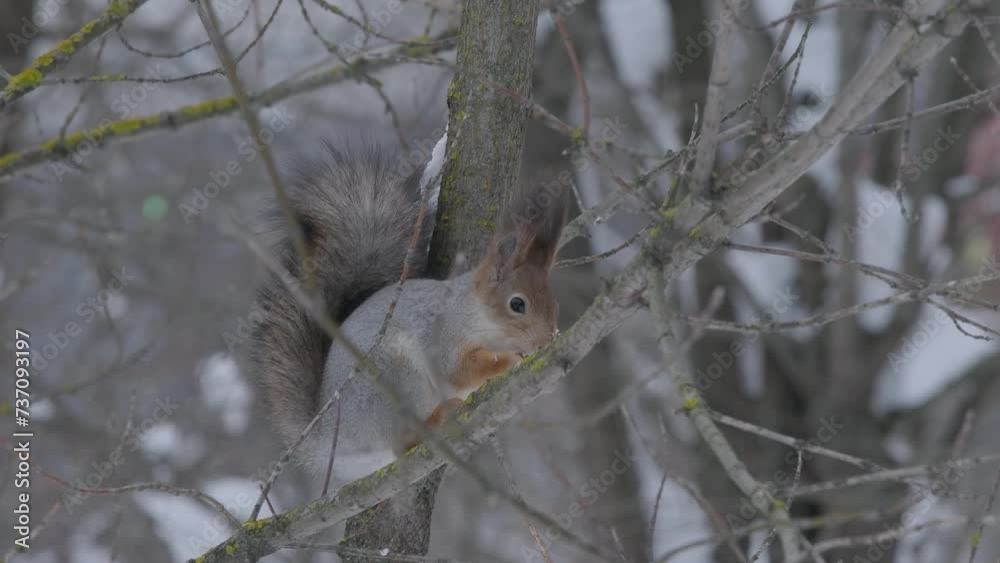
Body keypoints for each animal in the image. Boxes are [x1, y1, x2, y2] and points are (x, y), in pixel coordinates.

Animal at [251, 141, 565, 487]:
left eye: (554, 305)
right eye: (517, 304)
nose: (544, 340)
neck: (476, 314)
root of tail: (332, 440)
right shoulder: (446, 335)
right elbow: (458, 372)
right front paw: (509, 359)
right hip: (398, 379)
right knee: (403, 442)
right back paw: (441, 415)